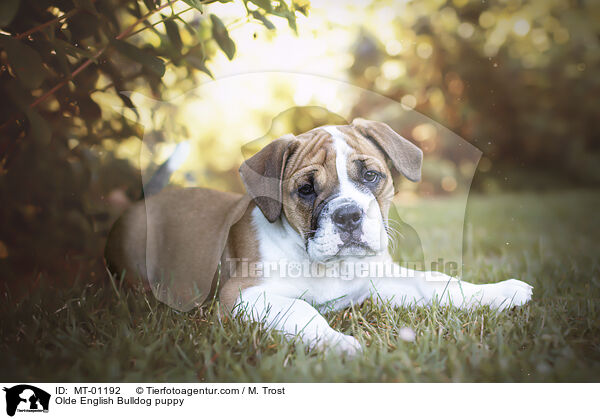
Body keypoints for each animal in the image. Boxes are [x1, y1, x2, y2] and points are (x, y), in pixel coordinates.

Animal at [105, 118, 532, 354]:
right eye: (306, 189)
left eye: (371, 176)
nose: (348, 216)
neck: (330, 267)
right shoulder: (240, 295)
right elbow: (302, 310)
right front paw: (337, 344)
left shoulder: (380, 280)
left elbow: (439, 282)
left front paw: (499, 292)